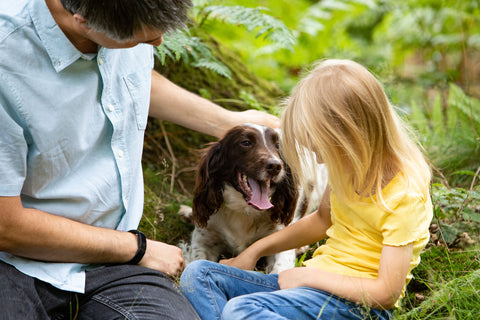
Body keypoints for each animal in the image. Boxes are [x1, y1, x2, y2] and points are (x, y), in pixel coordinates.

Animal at [179, 122, 326, 272]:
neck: (244, 211)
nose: (275, 166)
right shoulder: (204, 240)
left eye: (278, 145)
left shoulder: (279, 238)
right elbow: (195, 261)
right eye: (246, 142)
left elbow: (279, 268)